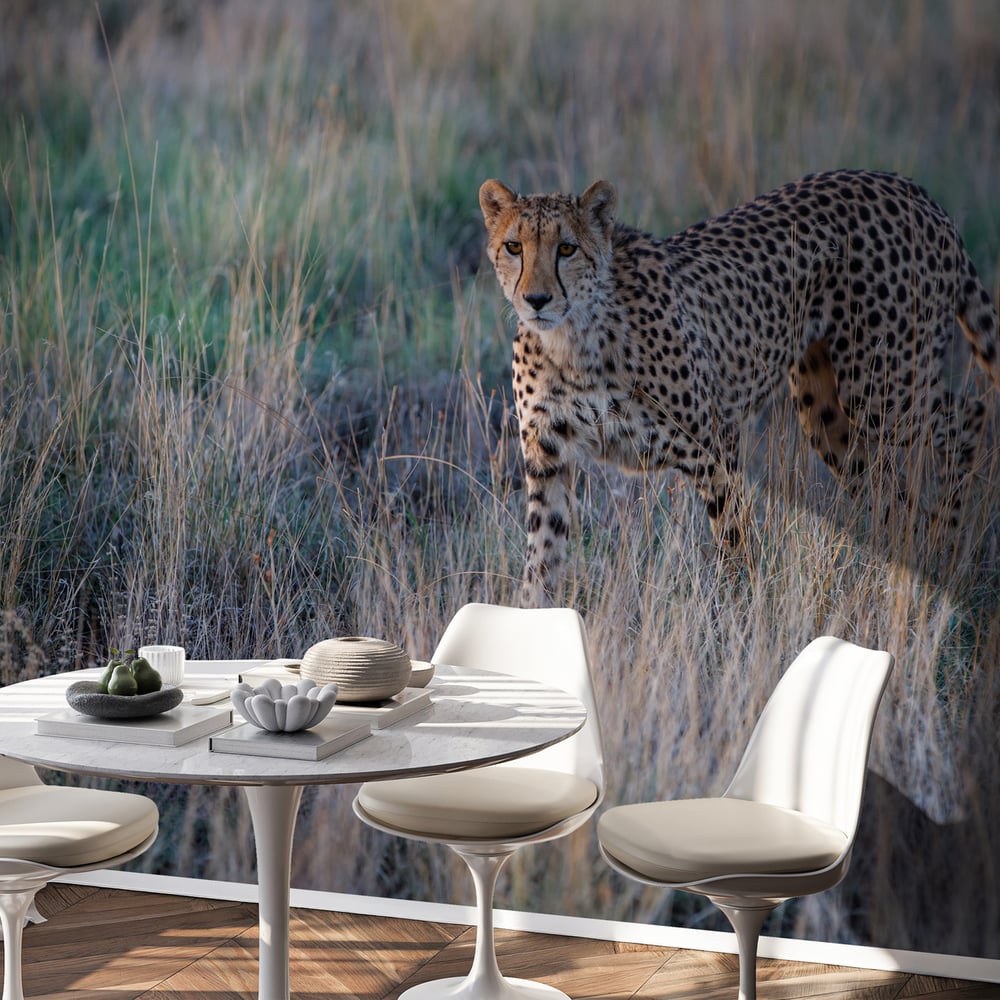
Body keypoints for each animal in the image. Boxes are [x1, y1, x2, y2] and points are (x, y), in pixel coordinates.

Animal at [478, 170, 1000, 608]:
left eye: (566, 249)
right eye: (514, 247)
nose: (537, 299)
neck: (571, 338)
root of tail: (912, 190)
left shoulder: (715, 443)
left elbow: (734, 541)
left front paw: (736, 613)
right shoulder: (548, 459)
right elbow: (542, 558)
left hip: (883, 388)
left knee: (970, 418)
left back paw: (949, 548)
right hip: (827, 414)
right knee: (889, 489)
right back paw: (913, 568)